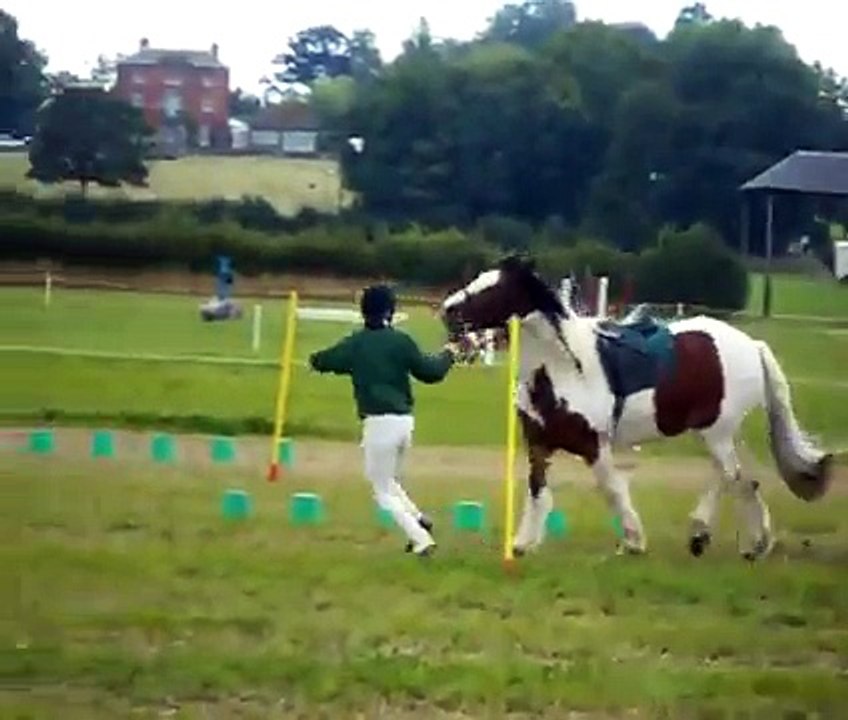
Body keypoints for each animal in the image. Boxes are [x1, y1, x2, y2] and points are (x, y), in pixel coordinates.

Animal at [440, 255, 834, 561]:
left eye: (493, 288)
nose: (447, 312)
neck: (564, 368)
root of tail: (752, 345)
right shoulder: (538, 442)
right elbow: (537, 491)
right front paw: (522, 544)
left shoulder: (593, 445)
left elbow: (611, 488)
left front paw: (633, 541)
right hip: (720, 432)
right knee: (740, 477)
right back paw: (735, 541)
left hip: (716, 431)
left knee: (733, 475)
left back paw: (723, 538)